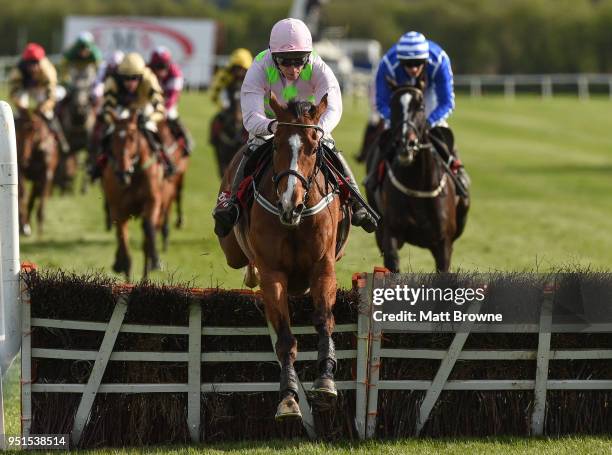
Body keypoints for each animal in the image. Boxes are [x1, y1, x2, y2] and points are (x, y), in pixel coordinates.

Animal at [102, 111, 165, 282]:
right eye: (113, 138)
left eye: (132, 136)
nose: (122, 174)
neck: (134, 175)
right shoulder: (118, 210)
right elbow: (126, 251)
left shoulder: (153, 201)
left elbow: (148, 228)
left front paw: (155, 261)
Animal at [218, 94, 350, 422]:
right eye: (276, 145)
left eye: (314, 147)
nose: (291, 202)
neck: (295, 220)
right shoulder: (273, 274)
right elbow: (285, 339)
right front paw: (289, 398)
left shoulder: (323, 267)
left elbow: (324, 320)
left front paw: (325, 381)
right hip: (231, 248)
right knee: (240, 259)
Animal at [366, 85, 470, 270]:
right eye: (392, 105)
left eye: (420, 106)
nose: (405, 144)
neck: (417, 185)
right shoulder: (390, 233)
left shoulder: (444, 244)